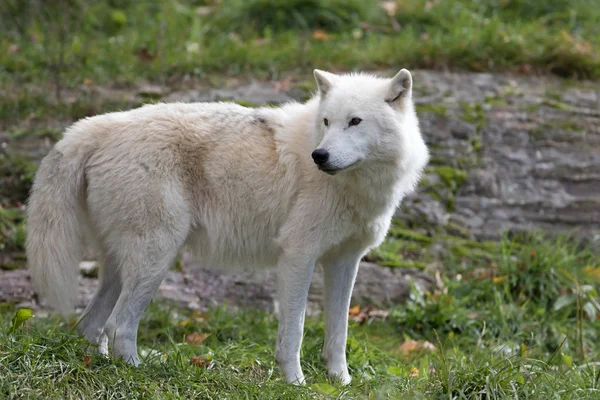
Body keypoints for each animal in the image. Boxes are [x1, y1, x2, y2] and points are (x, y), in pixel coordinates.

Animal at [25, 69, 428, 384]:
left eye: (355, 121)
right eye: (327, 122)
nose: (320, 156)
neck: (355, 187)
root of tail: (95, 126)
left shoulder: (345, 262)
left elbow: (339, 332)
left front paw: (340, 382)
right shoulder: (297, 257)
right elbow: (295, 331)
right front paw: (295, 384)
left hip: (121, 269)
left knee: (89, 327)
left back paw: (100, 366)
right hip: (155, 260)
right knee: (117, 326)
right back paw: (142, 372)